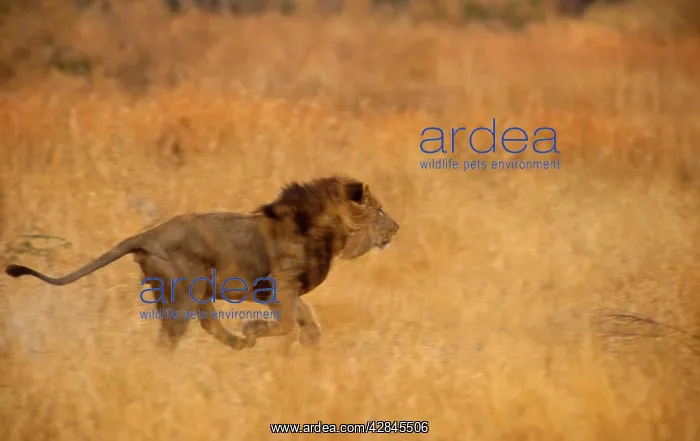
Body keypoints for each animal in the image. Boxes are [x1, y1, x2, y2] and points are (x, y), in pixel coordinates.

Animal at [5, 176, 400, 351]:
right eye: (380, 210)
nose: (397, 227)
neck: (329, 233)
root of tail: (147, 234)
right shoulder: (279, 284)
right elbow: (289, 320)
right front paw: (257, 329)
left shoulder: (280, 290)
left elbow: (306, 317)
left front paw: (311, 344)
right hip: (182, 292)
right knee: (171, 337)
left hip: (198, 288)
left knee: (207, 321)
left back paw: (238, 343)